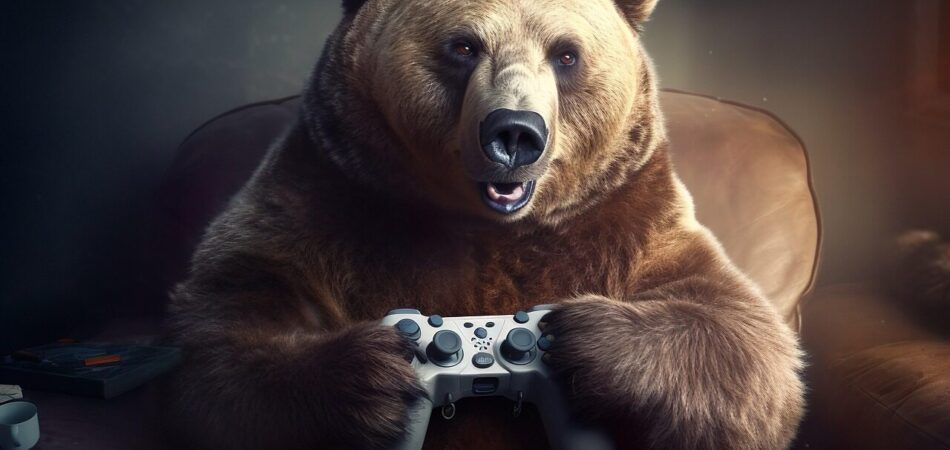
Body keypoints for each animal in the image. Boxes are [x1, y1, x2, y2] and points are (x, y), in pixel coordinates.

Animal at [168, 0, 805, 449]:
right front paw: (377, 373)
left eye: (566, 54)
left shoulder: (628, 219)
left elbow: (745, 337)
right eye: (464, 46)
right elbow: (229, 327)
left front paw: (582, 339)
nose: (515, 133)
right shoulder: (326, 196)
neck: (491, 227)